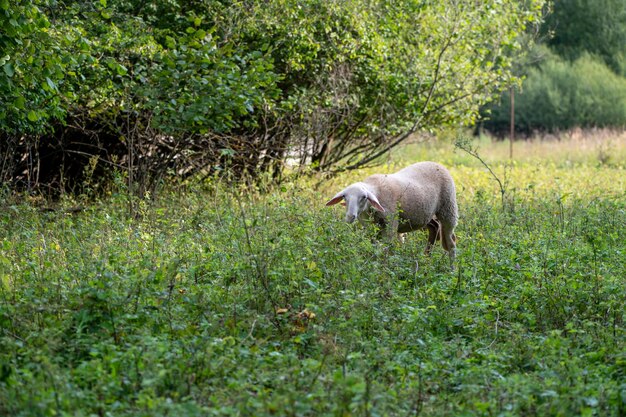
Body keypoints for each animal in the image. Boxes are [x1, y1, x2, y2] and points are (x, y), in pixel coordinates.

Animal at [324, 160, 456, 262]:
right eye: (344, 197)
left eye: (364, 197)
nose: (350, 216)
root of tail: (437, 164)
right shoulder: (370, 228)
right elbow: (374, 247)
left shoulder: (390, 223)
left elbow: (387, 248)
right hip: (423, 214)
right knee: (435, 227)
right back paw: (426, 257)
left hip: (448, 207)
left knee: (451, 243)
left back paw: (452, 269)